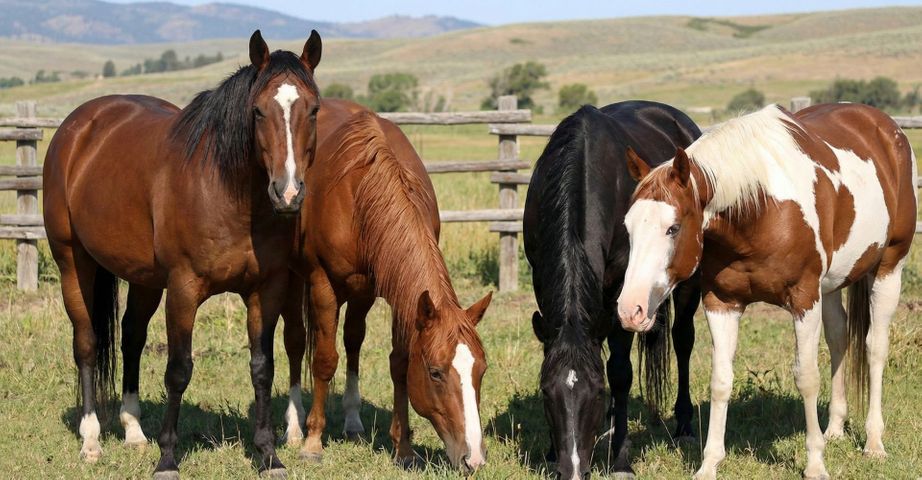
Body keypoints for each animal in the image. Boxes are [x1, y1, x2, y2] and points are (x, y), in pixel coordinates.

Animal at [43, 30, 322, 479]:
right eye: (258, 111)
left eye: (313, 110)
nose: (288, 193)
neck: (227, 192)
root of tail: (78, 127)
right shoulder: (184, 289)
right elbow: (178, 370)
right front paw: (168, 459)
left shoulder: (266, 289)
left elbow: (262, 367)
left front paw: (268, 455)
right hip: (73, 262)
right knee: (86, 342)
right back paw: (91, 441)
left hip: (142, 277)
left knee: (132, 337)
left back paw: (133, 431)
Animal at [277, 99, 493, 472]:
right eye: (436, 373)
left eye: (481, 369)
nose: (474, 458)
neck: (361, 191)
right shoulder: (322, 285)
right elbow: (323, 360)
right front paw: (313, 442)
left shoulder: (400, 296)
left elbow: (399, 363)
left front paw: (403, 448)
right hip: (294, 279)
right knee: (295, 342)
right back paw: (294, 426)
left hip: (360, 293)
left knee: (352, 340)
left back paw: (352, 422)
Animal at [523, 101, 702, 479]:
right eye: (546, 394)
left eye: (596, 392)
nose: (573, 471)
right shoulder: (541, 277)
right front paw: (551, 453)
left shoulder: (623, 286)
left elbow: (620, 372)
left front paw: (620, 459)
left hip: (686, 285)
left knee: (683, 340)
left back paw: (684, 426)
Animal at [618, 103, 917, 479]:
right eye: (627, 227)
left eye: (672, 228)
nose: (630, 310)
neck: (759, 210)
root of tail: (886, 127)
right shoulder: (722, 303)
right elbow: (721, 380)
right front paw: (709, 463)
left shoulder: (804, 300)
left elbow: (806, 377)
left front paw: (815, 464)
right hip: (833, 283)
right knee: (839, 338)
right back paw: (834, 429)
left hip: (889, 267)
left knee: (875, 348)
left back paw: (874, 442)